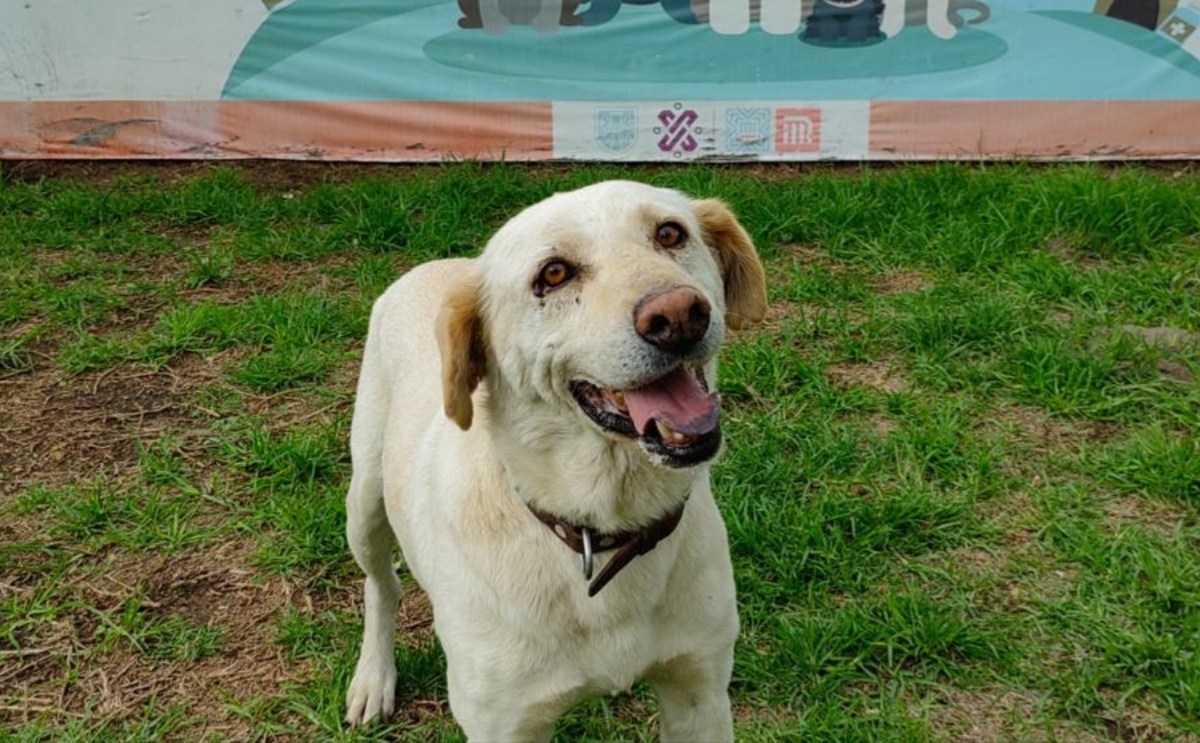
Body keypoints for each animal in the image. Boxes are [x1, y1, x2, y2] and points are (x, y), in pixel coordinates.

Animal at [343, 181, 763, 743]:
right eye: (554, 274)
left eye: (671, 234)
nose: (678, 316)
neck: (601, 526)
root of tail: (436, 263)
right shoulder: (502, 725)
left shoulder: (700, 695)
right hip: (365, 503)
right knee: (380, 584)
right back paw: (373, 677)